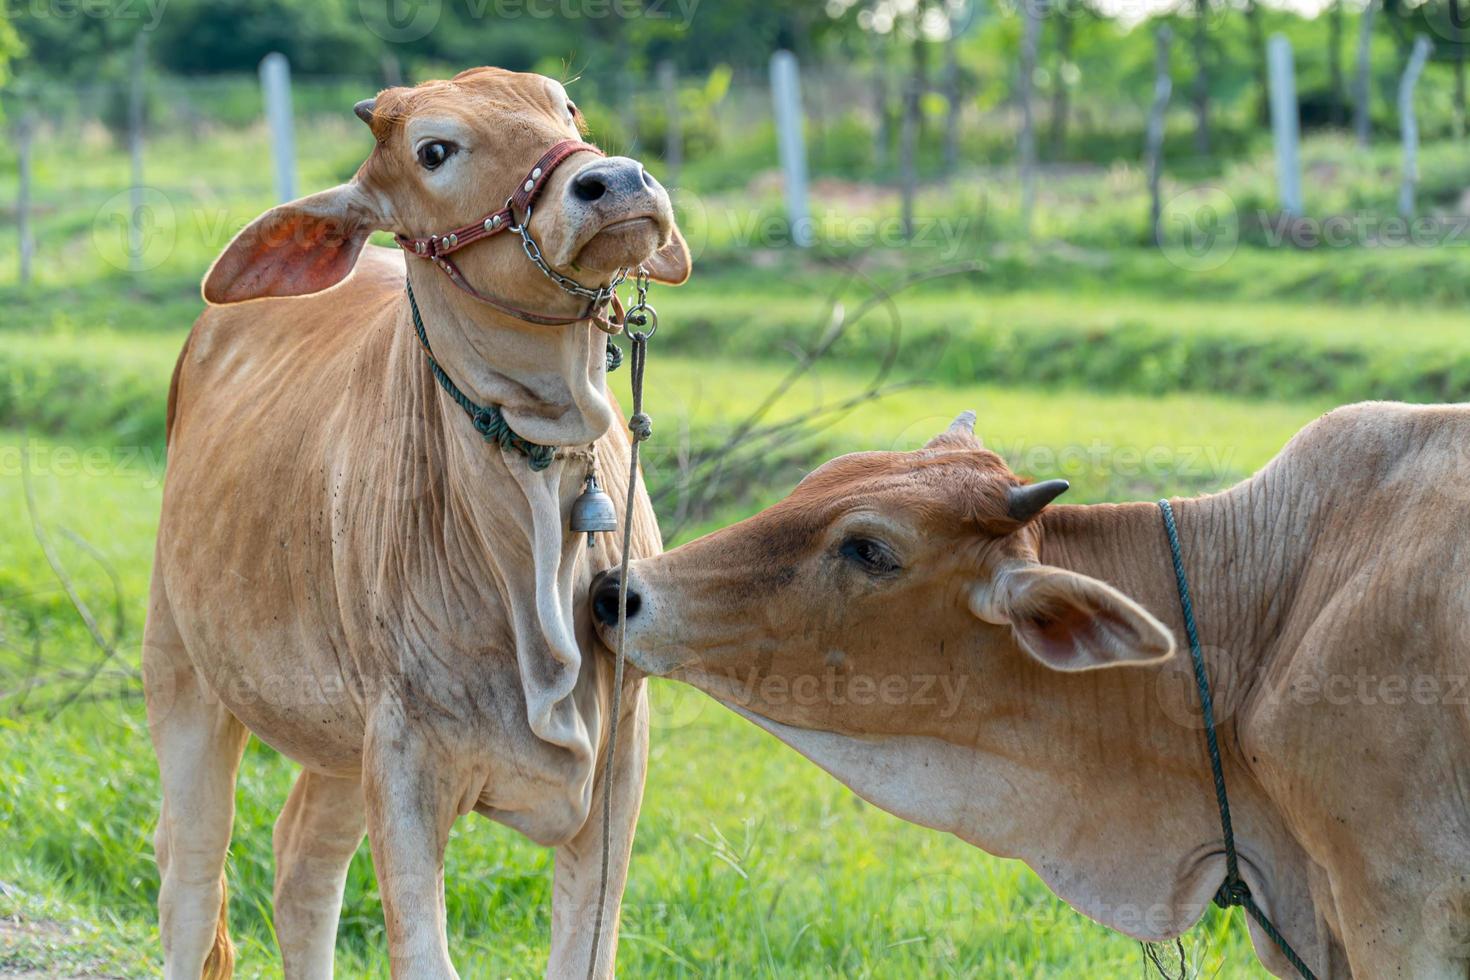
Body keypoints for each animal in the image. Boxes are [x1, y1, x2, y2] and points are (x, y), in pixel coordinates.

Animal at [143, 69, 682, 980]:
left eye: (565, 107)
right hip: (182, 670)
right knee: (190, 879)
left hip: (336, 735)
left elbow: (585, 950)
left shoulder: (621, 754)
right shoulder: (402, 753)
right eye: (435, 150)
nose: (615, 181)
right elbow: (422, 953)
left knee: (300, 863)